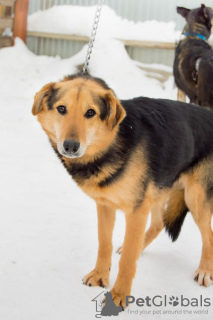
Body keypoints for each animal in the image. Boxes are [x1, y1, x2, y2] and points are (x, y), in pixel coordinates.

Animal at [32, 74, 213, 308]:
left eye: (90, 113)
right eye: (61, 109)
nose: (70, 146)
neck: (112, 142)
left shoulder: (136, 211)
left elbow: (127, 260)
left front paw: (119, 295)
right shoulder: (106, 205)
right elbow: (104, 243)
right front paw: (100, 276)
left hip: (195, 197)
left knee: (208, 234)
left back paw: (205, 270)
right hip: (158, 189)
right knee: (157, 224)